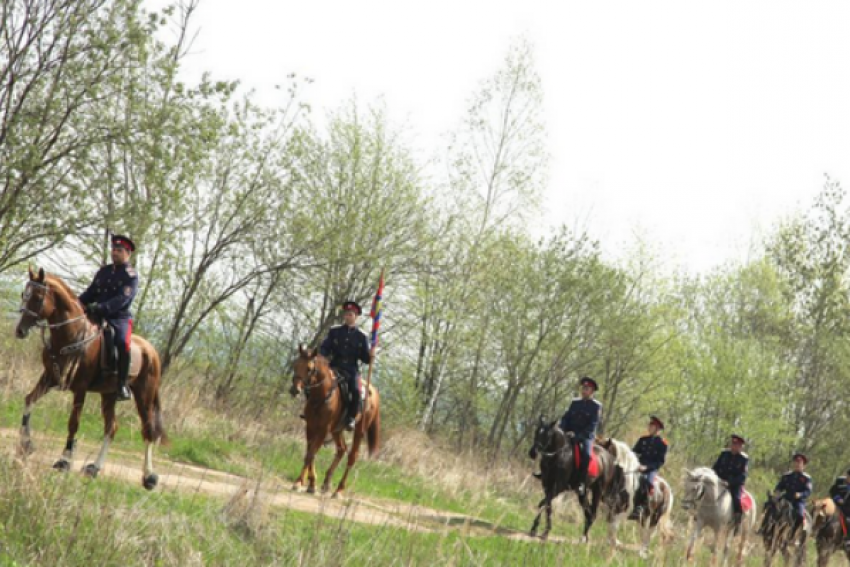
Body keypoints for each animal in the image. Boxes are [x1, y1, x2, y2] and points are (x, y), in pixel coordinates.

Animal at [14, 268, 166, 490]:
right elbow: (29, 400)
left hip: (144, 396)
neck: (72, 334)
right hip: (108, 395)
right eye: (23, 294)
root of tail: (151, 350)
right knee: (111, 428)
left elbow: (73, 423)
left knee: (148, 431)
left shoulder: (80, 388)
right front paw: (26, 443)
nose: (20, 331)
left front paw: (64, 460)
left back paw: (149, 477)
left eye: (38, 297)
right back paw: (95, 468)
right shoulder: (49, 378)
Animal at [290, 346, 380, 496]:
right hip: (336, 430)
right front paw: (310, 483)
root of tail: (373, 391)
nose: (294, 390)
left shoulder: (323, 429)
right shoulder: (310, 426)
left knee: (352, 457)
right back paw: (327, 483)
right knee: (341, 449)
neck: (321, 395)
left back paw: (339, 490)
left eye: (309, 369)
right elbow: (310, 453)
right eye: (295, 365)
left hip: (359, 430)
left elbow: (310, 454)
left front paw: (298, 483)